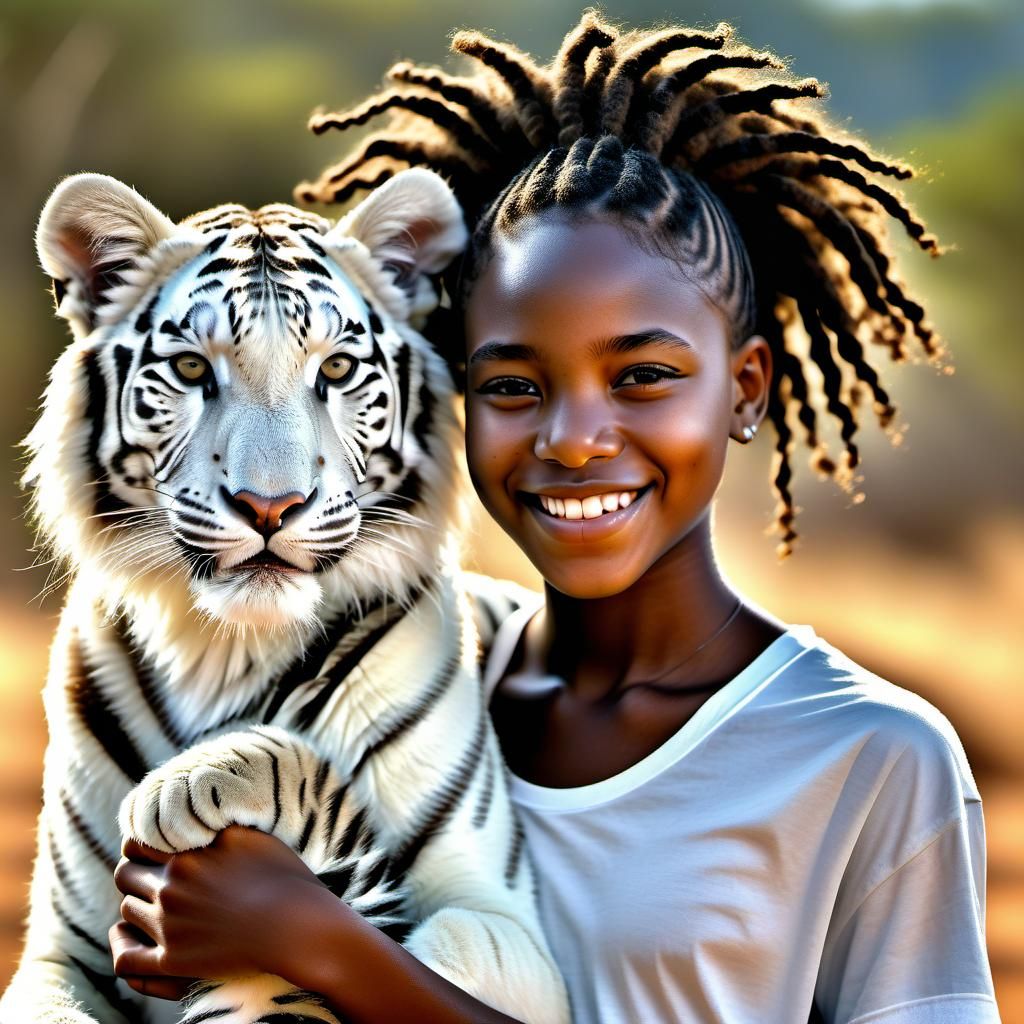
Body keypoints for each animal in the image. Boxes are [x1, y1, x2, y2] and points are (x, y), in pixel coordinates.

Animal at [1, 170, 569, 1024]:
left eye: (334, 372)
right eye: (192, 371)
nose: (270, 506)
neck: (224, 648)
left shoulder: (507, 923)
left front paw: (194, 780)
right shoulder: (58, 956)